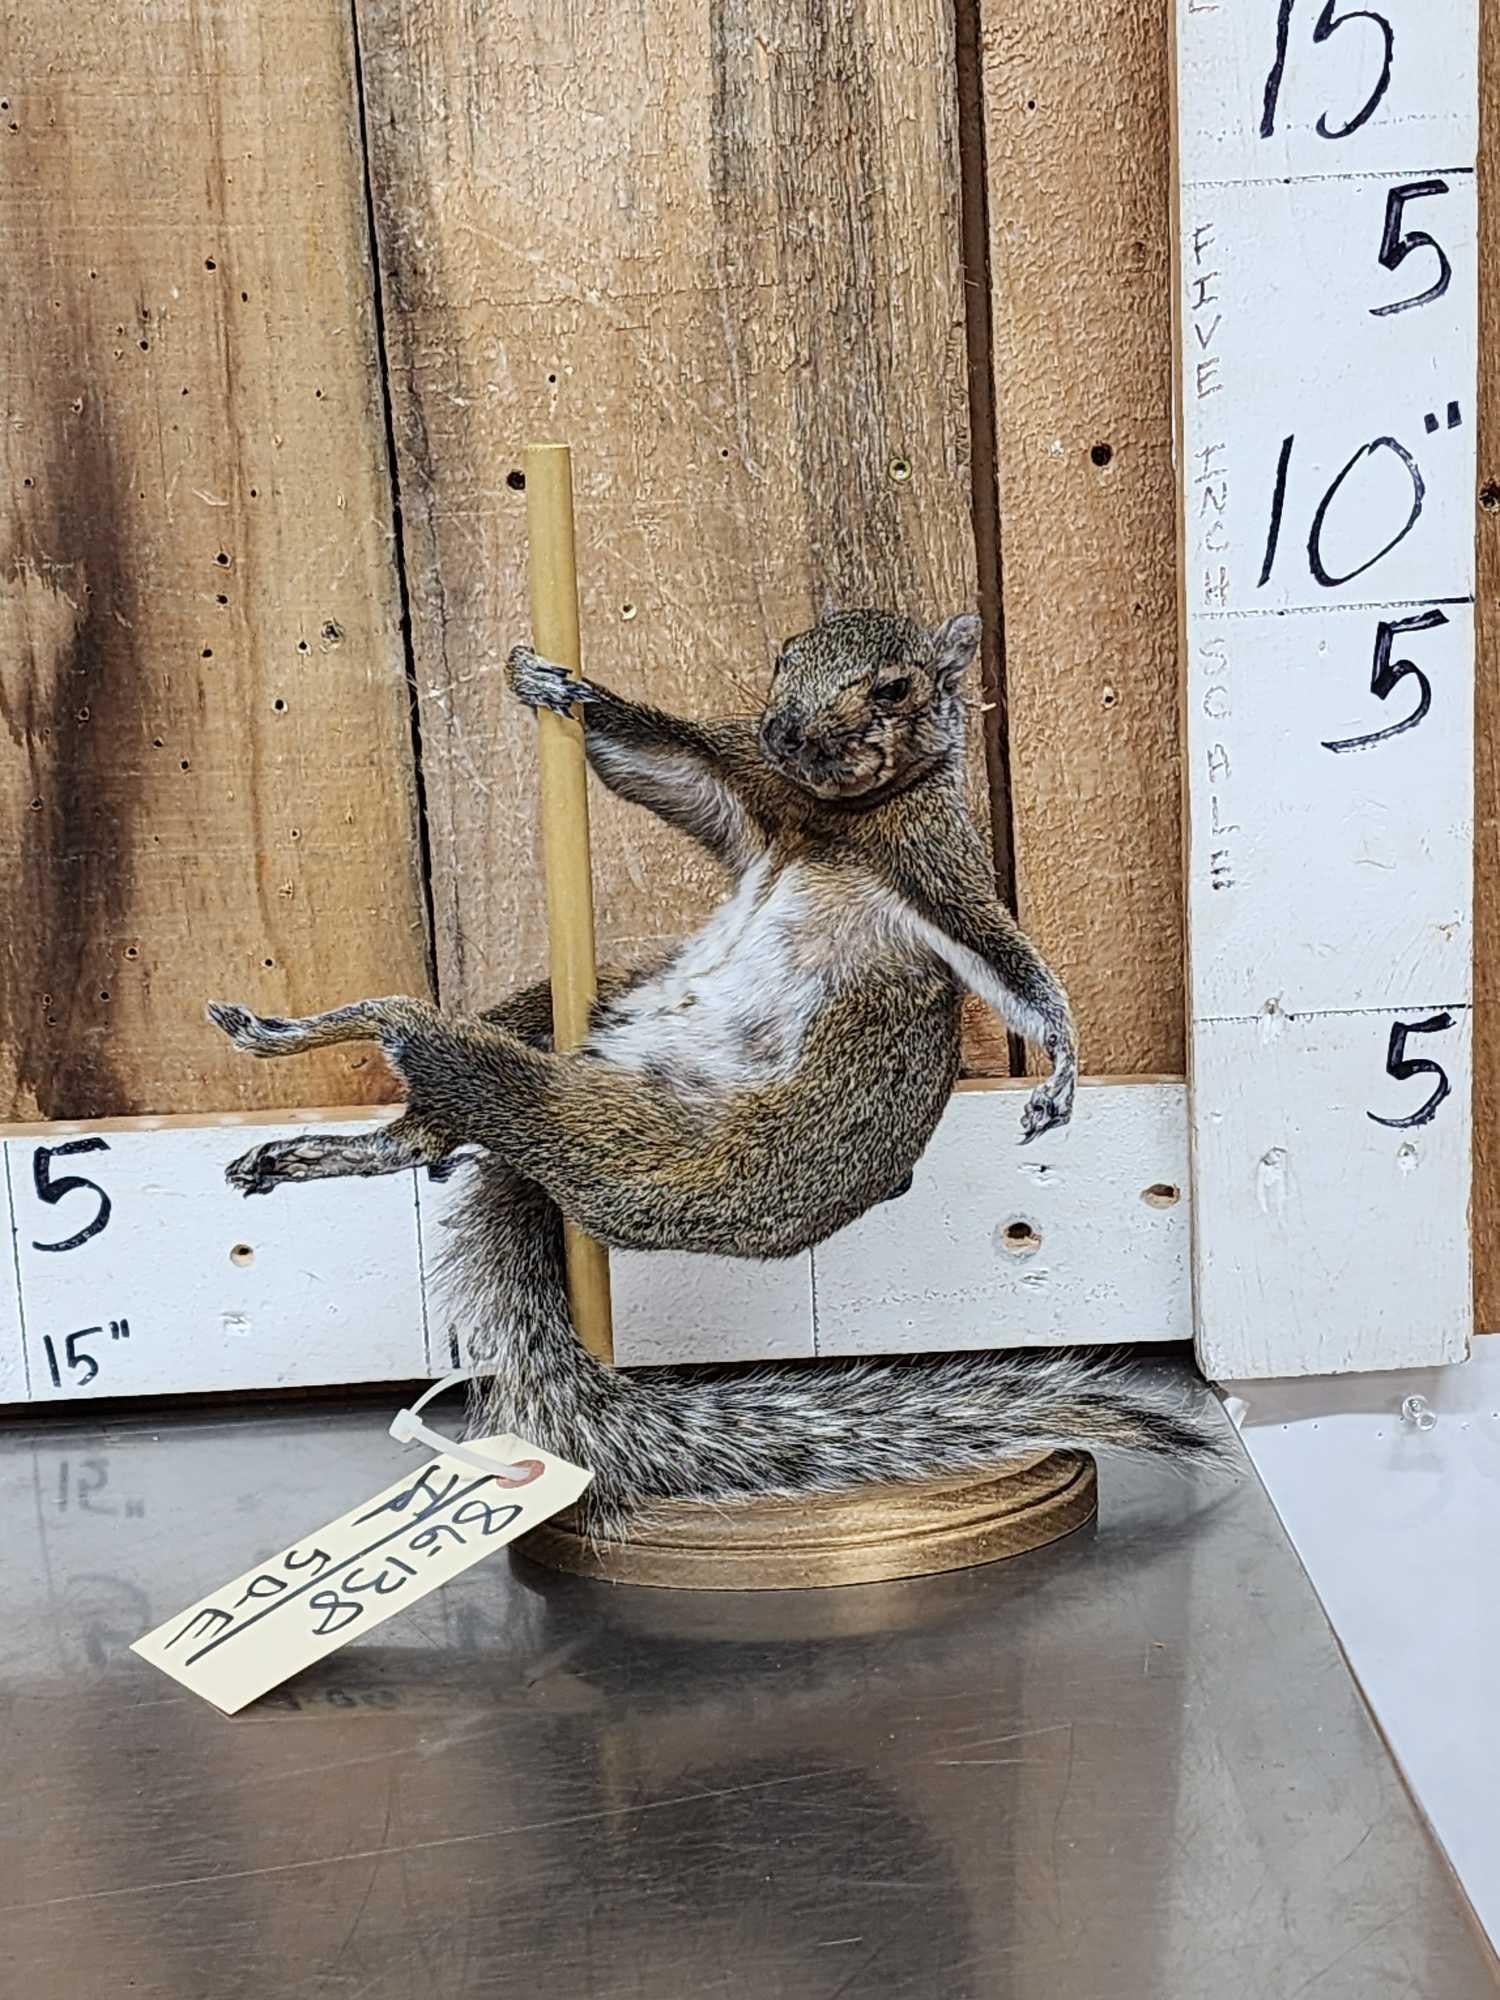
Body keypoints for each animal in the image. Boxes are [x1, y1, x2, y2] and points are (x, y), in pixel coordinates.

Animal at [208, 607, 1220, 1535]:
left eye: (895, 688)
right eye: (784, 655)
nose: (787, 732)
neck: (832, 818)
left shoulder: (940, 869)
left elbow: (1014, 969)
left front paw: (1060, 1068)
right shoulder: (744, 791)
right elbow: (658, 764)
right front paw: (556, 685)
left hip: (618, 1140)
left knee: (431, 1053)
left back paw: (333, 1041)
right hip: (572, 1008)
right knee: (427, 1122)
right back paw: (321, 1124)